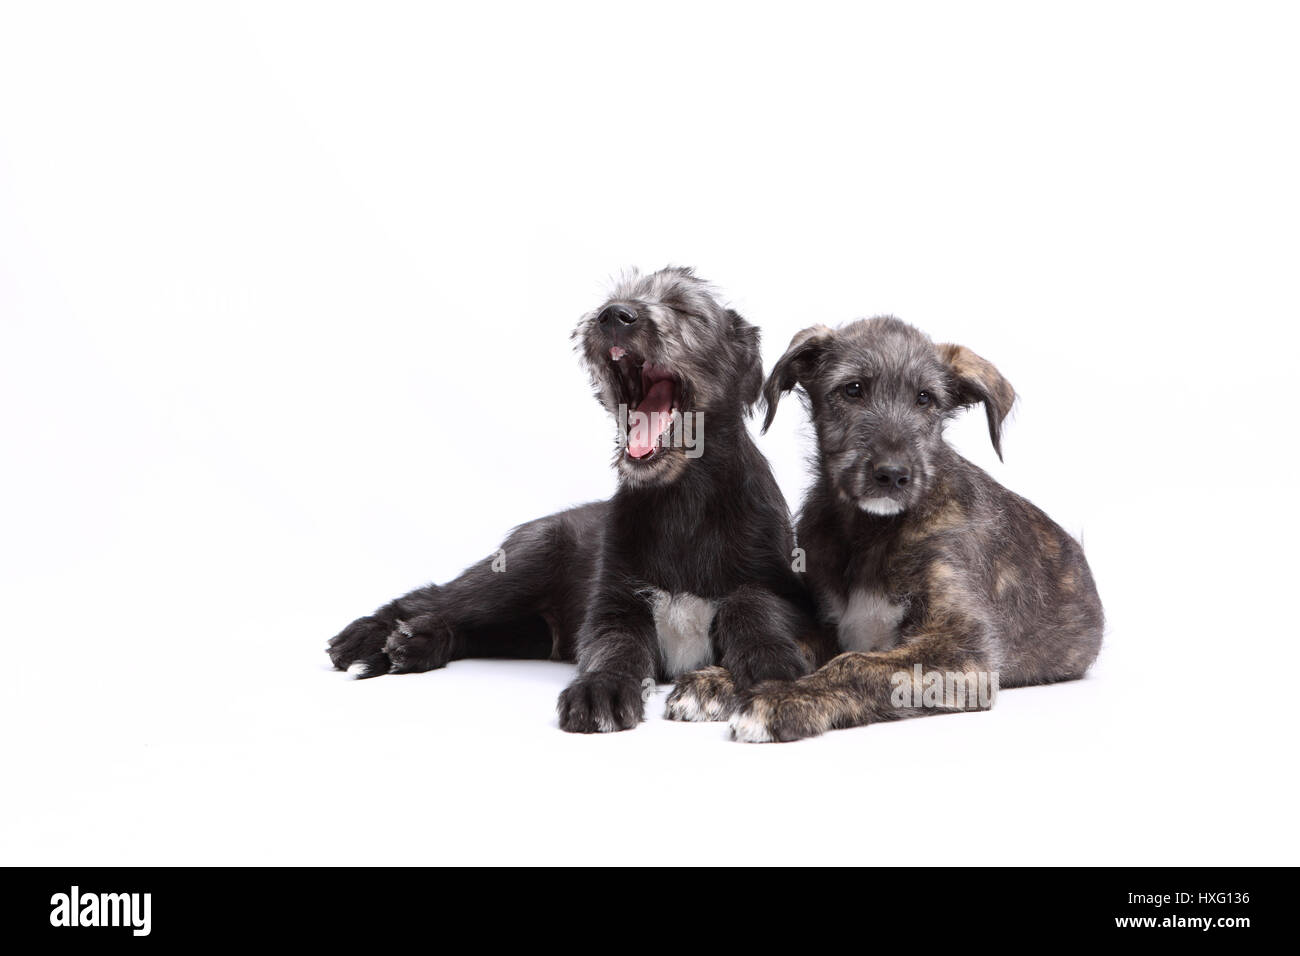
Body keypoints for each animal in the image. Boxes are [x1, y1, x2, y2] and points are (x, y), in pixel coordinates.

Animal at [322, 267, 821, 733]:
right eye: (614, 299)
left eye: (684, 309)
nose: (614, 315)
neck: (684, 500)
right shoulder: (613, 604)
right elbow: (614, 645)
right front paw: (601, 689)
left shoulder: (781, 587)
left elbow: (751, 600)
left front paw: (768, 661)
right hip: (520, 567)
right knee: (435, 596)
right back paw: (369, 636)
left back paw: (414, 644)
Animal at [676, 317, 1102, 743]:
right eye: (853, 389)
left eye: (925, 399)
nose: (893, 475)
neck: (870, 533)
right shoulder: (831, 626)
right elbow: (789, 648)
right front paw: (719, 681)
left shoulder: (964, 652)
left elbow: (856, 665)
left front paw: (784, 699)